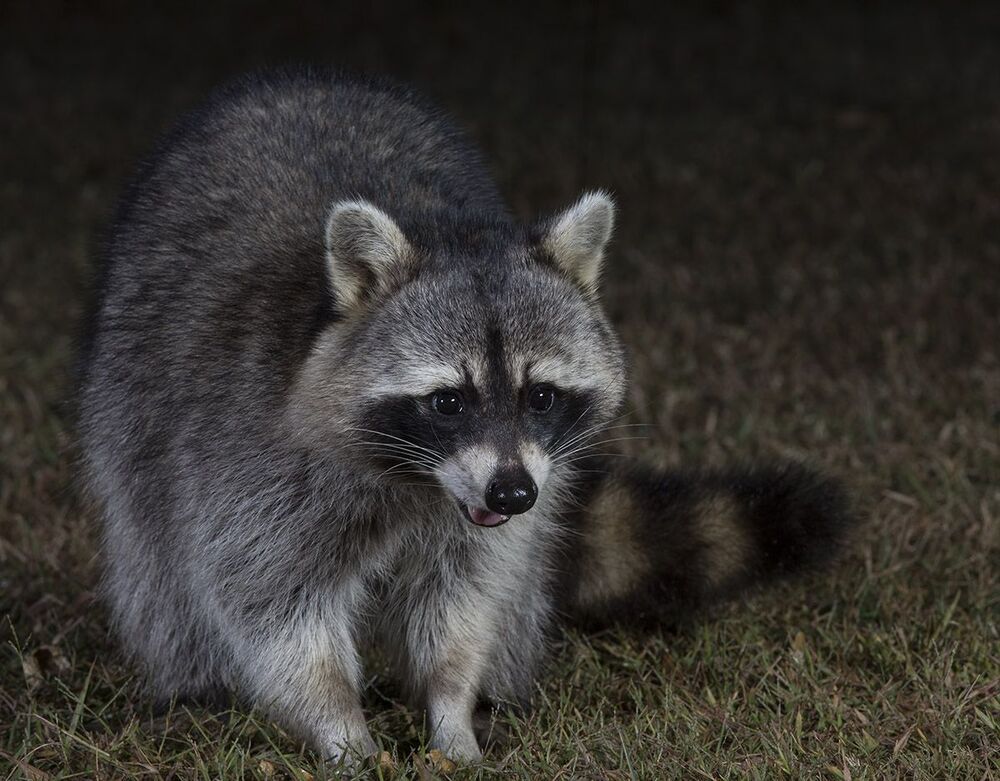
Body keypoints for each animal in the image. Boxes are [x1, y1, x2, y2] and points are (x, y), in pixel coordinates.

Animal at [77, 67, 854, 764]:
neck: (417, 483)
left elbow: (465, 600)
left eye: (540, 395)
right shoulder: (251, 458)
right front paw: (343, 730)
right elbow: (272, 606)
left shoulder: (497, 514)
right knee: (159, 566)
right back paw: (192, 684)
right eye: (447, 401)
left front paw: (452, 708)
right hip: (133, 404)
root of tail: (297, 79)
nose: (512, 493)